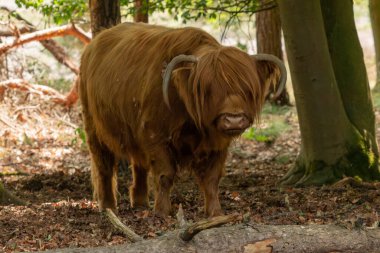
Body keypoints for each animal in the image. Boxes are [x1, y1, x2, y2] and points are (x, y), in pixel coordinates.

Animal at [79, 22, 284, 217]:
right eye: (207, 89)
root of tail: (93, 45)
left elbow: (212, 179)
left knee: (139, 165)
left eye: (248, 89)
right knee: (104, 166)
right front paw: (162, 212)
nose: (234, 119)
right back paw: (108, 207)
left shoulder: (217, 144)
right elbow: (165, 175)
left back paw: (140, 202)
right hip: (94, 127)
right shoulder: (155, 135)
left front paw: (215, 212)